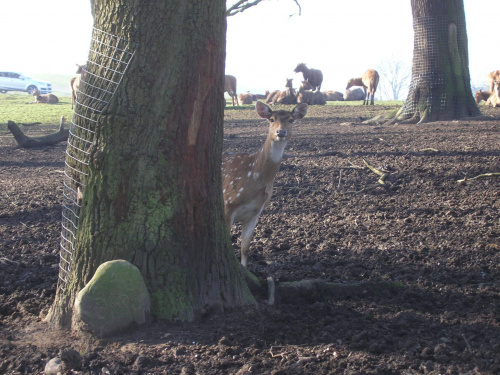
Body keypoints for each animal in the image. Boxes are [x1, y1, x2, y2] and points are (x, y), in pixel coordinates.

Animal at [224, 101, 308, 268]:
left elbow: (245, 248)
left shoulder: (256, 212)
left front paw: (245, 269)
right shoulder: (228, 204)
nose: (281, 132)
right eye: (271, 119)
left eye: (291, 120)